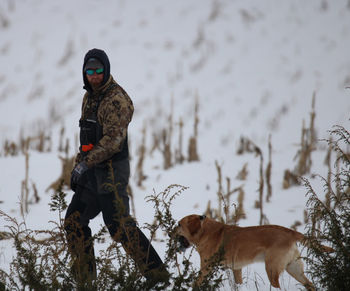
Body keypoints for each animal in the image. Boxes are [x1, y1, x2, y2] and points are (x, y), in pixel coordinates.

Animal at [176, 214, 332, 291]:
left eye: (179, 224)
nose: (171, 232)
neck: (205, 231)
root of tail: (290, 232)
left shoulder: (206, 268)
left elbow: (196, 283)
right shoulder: (237, 268)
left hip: (272, 268)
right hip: (293, 268)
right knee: (309, 285)